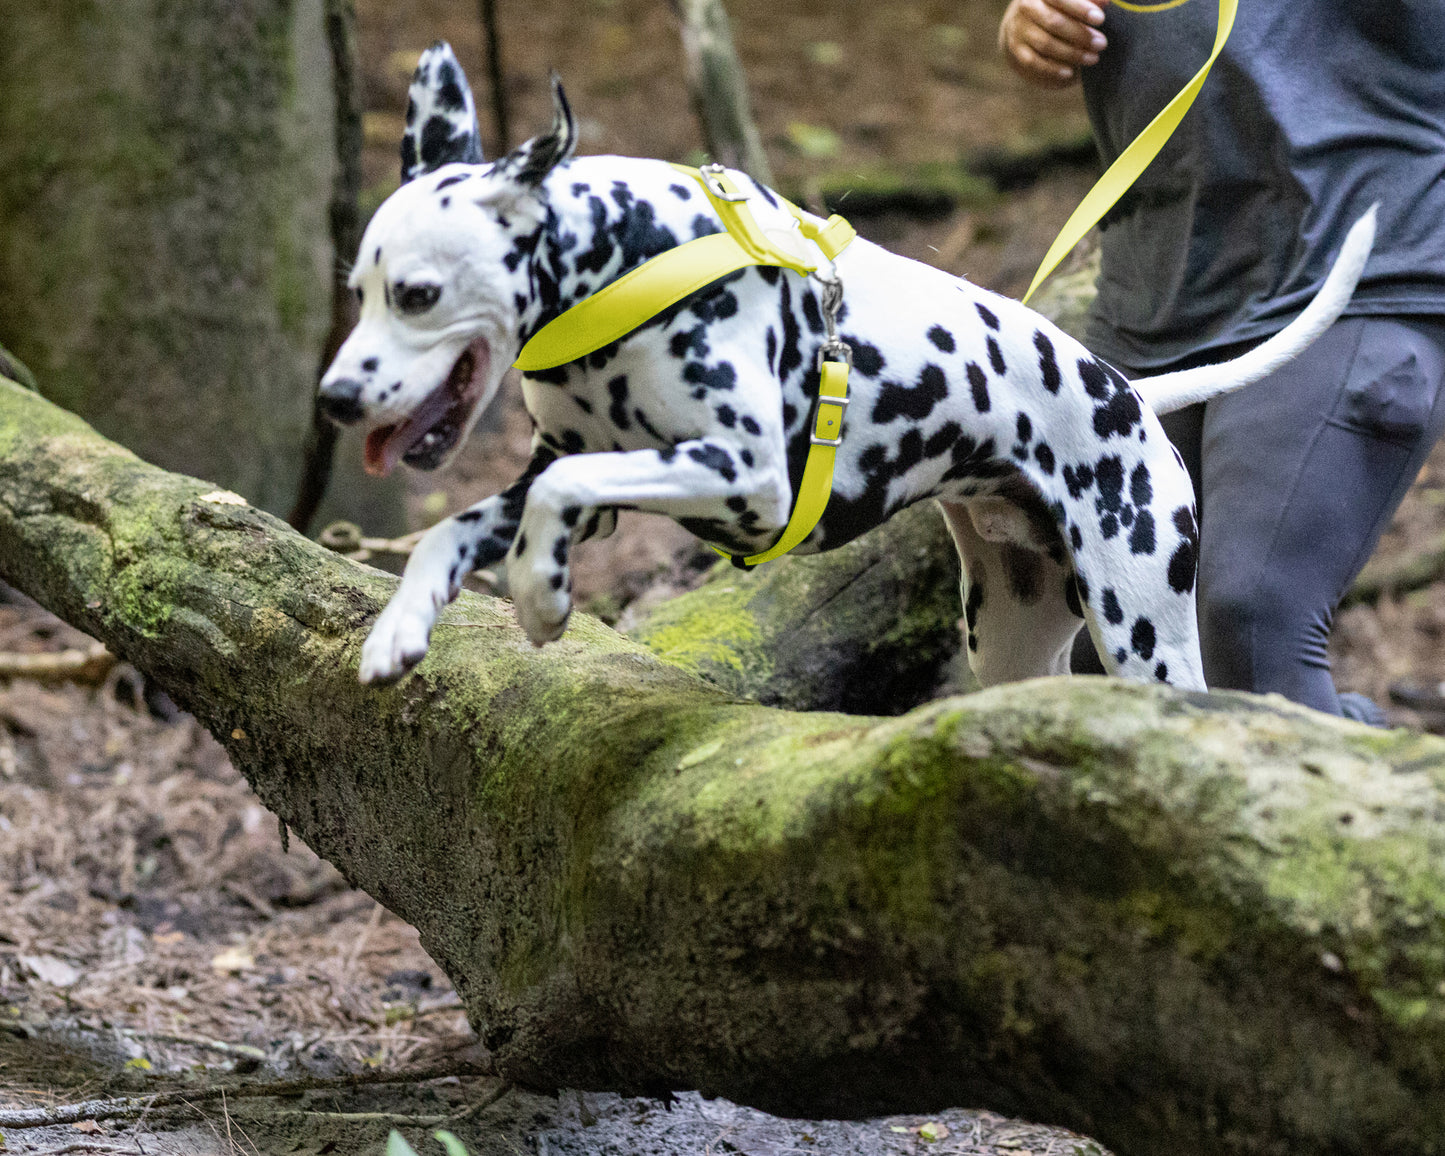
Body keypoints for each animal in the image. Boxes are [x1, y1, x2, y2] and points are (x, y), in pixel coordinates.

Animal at [322, 45, 1369, 690]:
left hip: (1143, 628)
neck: (626, 256)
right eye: (358, 290)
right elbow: (456, 525)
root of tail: (1129, 394)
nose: (334, 398)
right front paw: (400, 627)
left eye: (416, 294)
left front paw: (542, 599)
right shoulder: (576, 474)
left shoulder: (745, 477)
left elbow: (558, 493)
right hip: (1011, 635)